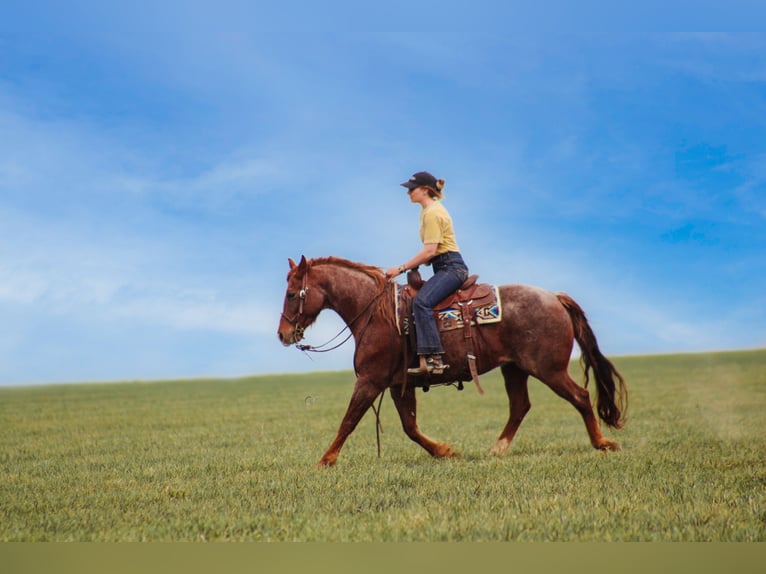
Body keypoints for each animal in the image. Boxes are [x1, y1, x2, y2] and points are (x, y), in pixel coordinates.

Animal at [280, 256, 628, 468]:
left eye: (292, 293)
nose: (283, 333)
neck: (375, 313)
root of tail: (554, 297)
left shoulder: (370, 381)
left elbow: (349, 421)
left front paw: (325, 460)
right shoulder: (398, 385)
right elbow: (410, 427)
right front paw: (445, 451)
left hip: (548, 368)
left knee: (580, 396)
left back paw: (602, 442)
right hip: (514, 369)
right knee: (520, 406)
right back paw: (497, 449)